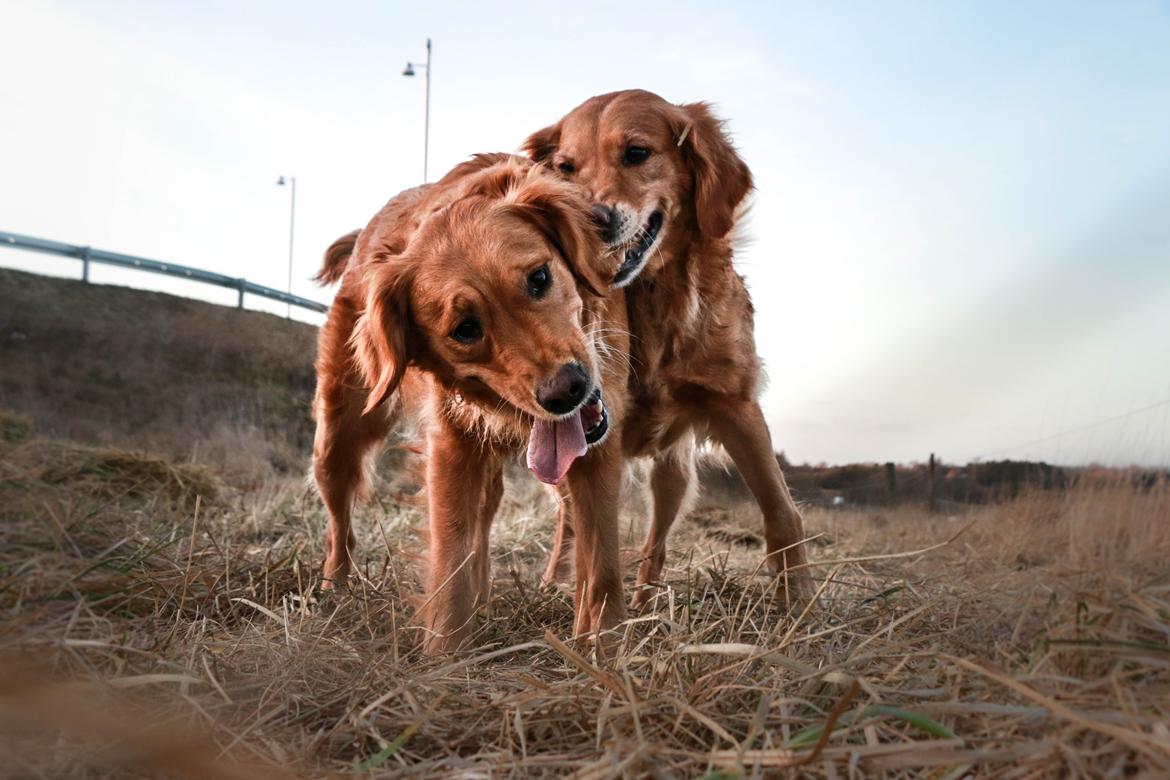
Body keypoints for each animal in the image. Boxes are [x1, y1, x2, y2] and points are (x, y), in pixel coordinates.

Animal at [306, 154, 627, 654]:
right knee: (340, 520)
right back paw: (334, 588)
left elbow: (604, 567)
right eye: (465, 329)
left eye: (539, 278)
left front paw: (603, 652)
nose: (566, 391)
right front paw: (445, 657)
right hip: (338, 435)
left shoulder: (598, 450)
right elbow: (449, 560)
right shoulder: (451, 451)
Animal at [526, 90, 809, 603]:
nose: (592, 221)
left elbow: (780, 509)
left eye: (637, 152)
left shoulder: (736, 405)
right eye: (565, 168)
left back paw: (644, 600)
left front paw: (799, 598)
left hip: (671, 471)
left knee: (654, 543)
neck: (658, 296)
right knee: (570, 523)